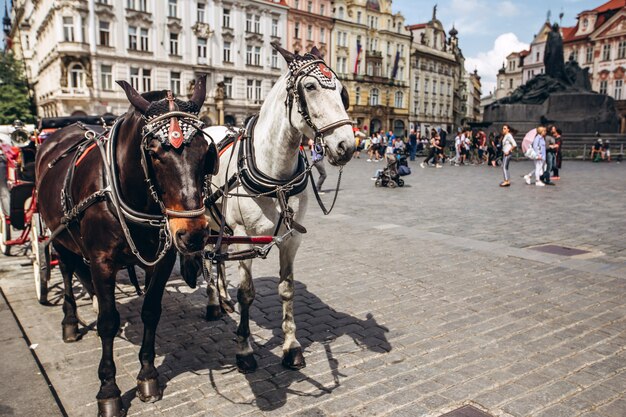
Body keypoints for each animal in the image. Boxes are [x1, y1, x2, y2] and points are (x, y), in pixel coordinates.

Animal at [36, 76, 218, 414]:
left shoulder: (163, 260)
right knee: (67, 271)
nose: (193, 235)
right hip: (58, 235)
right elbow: (108, 322)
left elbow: (151, 311)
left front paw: (148, 374)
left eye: (205, 151)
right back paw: (70, 321)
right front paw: (108, 389)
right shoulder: (101, 261)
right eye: (154, 152)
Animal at [185, 43, 354, 370]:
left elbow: (287, 290)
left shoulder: (292, 238)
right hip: (204, 222)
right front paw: (244, 349)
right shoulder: (244, 237)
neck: (276, 178)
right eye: (310, 87)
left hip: (221, 225)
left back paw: (223, 297)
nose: (347, 146)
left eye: (342, 92)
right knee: (207, 257)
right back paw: (213, 303)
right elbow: (247, 293)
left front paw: (291, 346)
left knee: (219, 257)